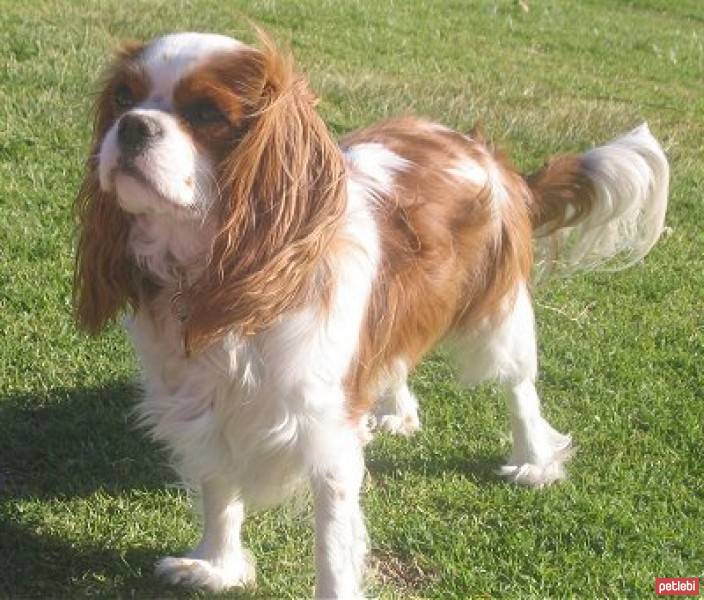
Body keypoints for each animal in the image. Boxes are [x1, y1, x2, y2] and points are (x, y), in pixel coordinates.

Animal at [73, 29, 672, 600]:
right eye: (122, 97)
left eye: (205, 113)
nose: (133, 126)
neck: (213, 275)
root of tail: (483, 150)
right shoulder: (201, 405)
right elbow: (219, 489)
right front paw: (218, 566)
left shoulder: (326, 434)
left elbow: (333, 546)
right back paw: (396, 409)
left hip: (498, 314)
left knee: (519, 387)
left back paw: (533, 461)